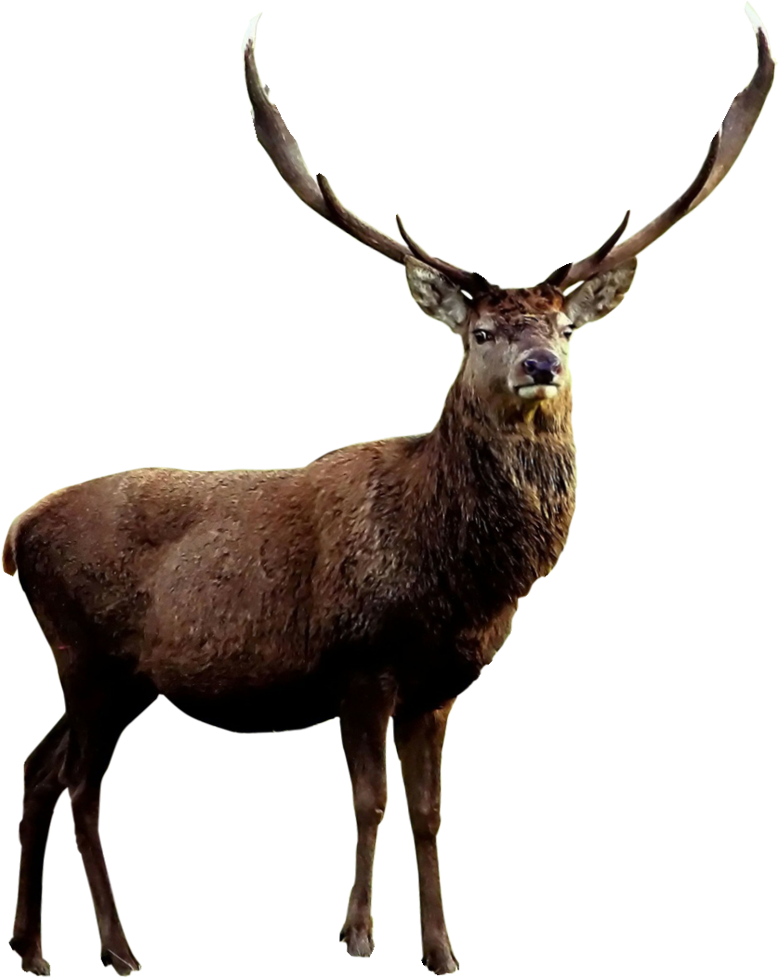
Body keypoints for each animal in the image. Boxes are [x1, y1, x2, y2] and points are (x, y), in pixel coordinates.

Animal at [5, 6, 774, 977]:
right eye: (480, 332)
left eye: (567, 326)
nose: (541, 365)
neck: (456, 582)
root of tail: (15, 530)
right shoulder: (358, 662)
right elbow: (369, 803)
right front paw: (359, 936)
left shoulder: (440, 685)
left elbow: (432, 814)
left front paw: (442, 949)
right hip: (85, 652)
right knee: (77, 785)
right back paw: (118, 949)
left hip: (121, 674)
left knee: (37, 767)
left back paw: (33, 949)